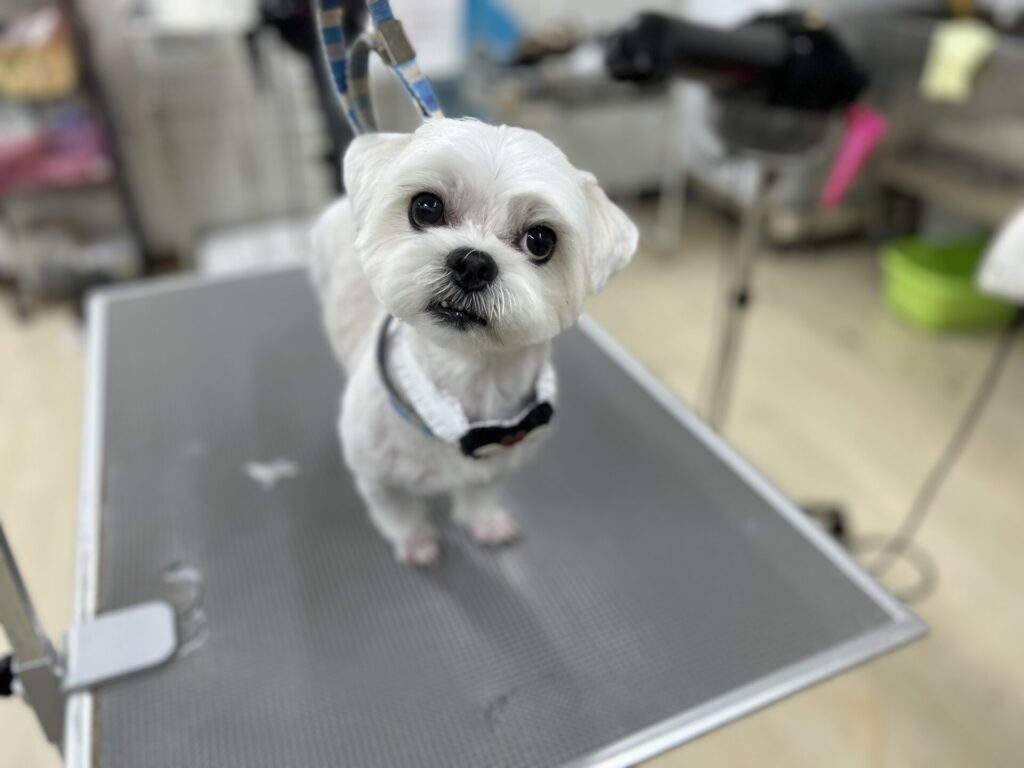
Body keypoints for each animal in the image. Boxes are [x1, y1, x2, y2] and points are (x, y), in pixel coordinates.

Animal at [310, 118, 638, 566]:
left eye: (541, 240)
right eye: (426, 207)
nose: (473, 263)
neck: (470, 375)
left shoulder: (497, 462)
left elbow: (480, 494)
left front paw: (484, 523)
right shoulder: (377, 476)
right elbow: (398, 510)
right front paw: (416, 541)